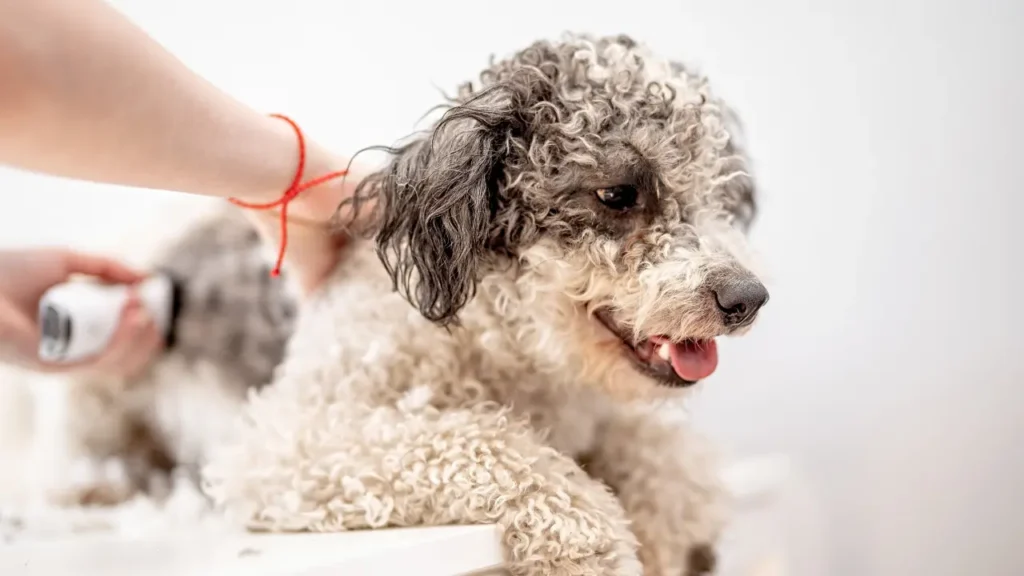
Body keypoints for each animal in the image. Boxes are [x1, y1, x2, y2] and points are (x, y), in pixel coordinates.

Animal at [37, 34, 770, 573]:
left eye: (717, 193)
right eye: (618, 194)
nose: (748, 298)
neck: (495, 348)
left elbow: (663, 452)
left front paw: (675, 527)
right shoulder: (287, 443)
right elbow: (476, 441)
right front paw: (587, 534)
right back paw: (96, 484)